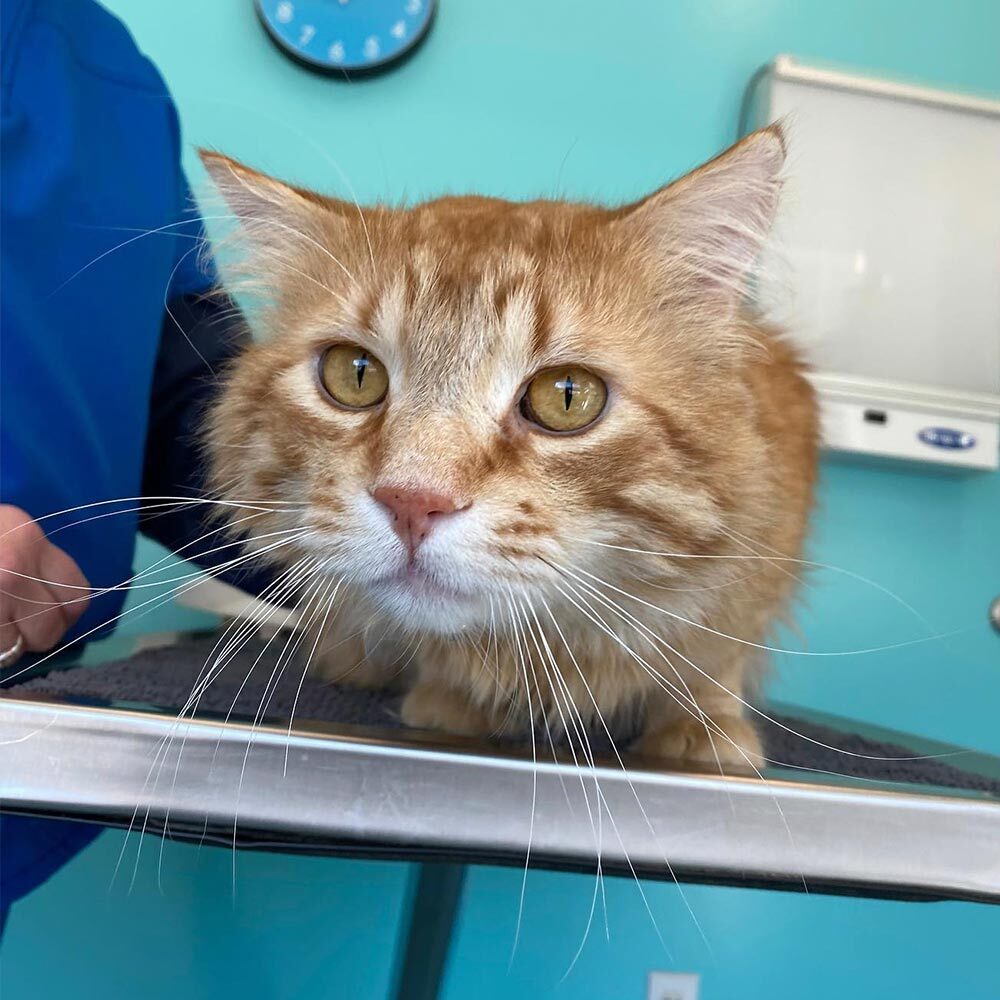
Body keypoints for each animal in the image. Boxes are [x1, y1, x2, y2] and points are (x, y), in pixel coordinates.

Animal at [201, 123, 820, 764]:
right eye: (356, 374)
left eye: (567, 396)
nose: (412, 502)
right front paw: (448, 704)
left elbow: (714, 664)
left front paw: (701, 731)